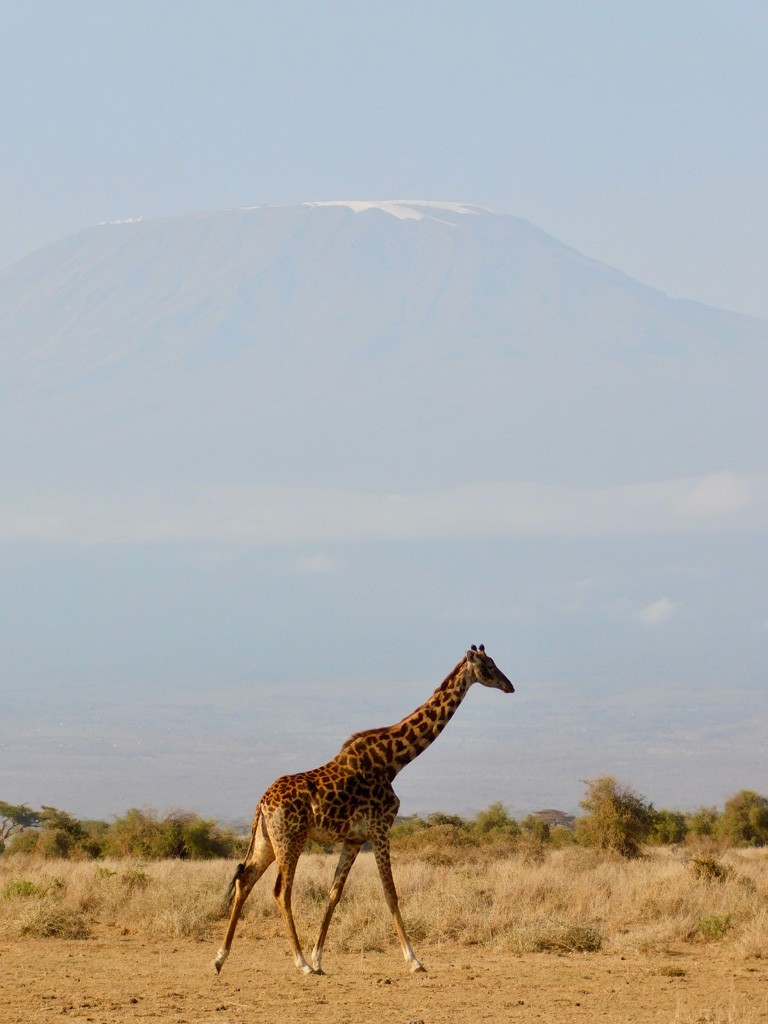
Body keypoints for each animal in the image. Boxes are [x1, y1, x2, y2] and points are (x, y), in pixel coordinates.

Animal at [213, 645, 514, 976]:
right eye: (489, 666)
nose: (509, 686)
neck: (393, 761)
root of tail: (262, 803)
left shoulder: (354, 839)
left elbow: (334, 894)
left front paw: (320, 958)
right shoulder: (381, 829)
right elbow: (390, 893)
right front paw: (414, 960)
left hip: (267, 842)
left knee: (244, 881)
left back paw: (220, 958)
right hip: (291, 840)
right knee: (281, 891)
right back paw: (300, 963)